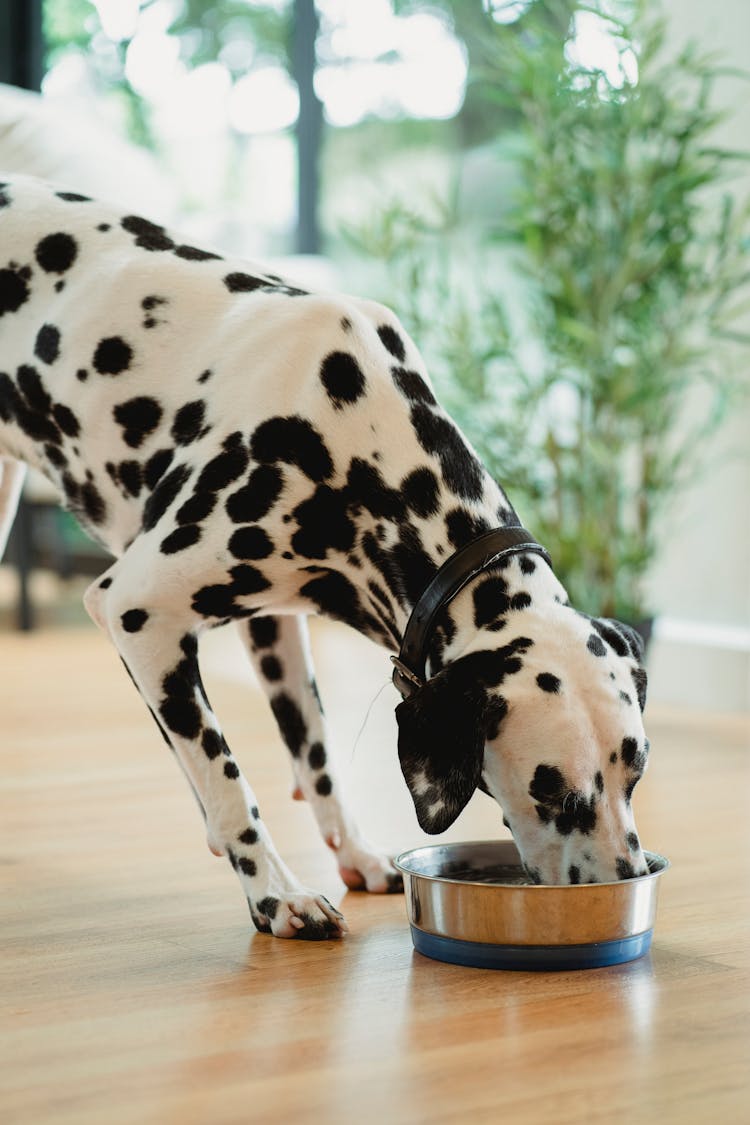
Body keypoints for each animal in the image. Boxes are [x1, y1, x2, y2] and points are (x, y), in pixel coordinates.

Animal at [0, 175, 652, 936]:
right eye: (553, 791)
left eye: (636, 773)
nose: (625, 884)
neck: (356, 433)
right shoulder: (137, 611)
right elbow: (226, 777)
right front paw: (275, 892)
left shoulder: (273, 622)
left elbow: (316, 754)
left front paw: (355, 853)